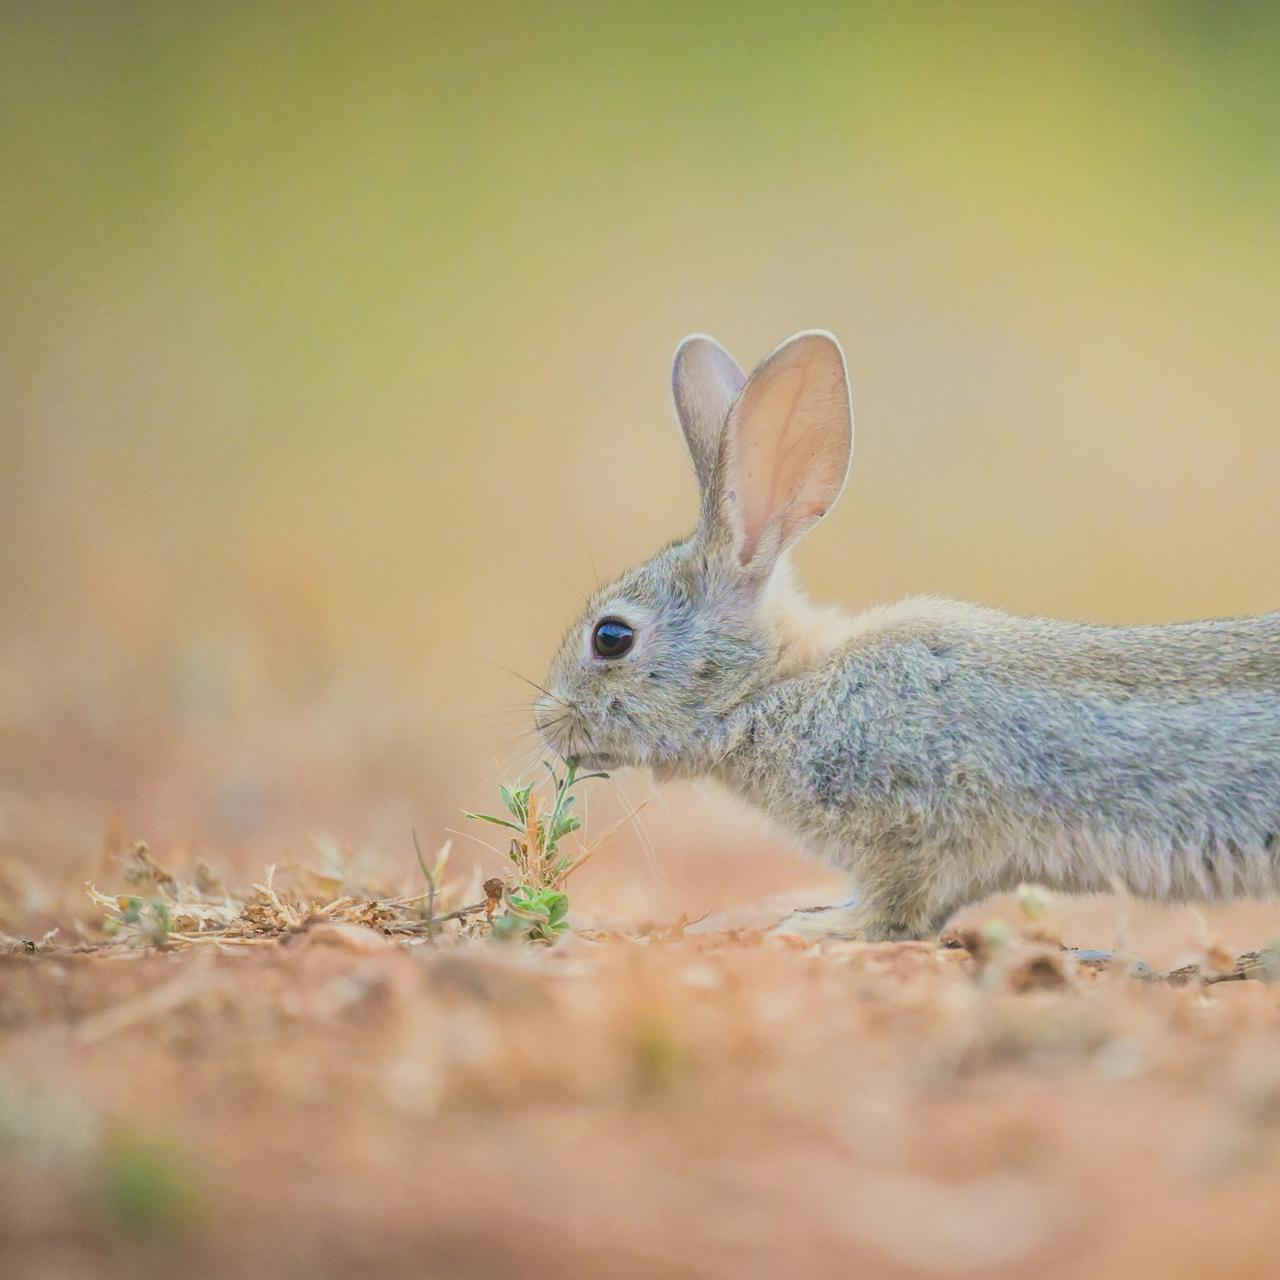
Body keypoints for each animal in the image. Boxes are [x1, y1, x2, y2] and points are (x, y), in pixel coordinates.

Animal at [532, 330, 1280, 942]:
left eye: (612, 638)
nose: (546, 721)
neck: (775, 687)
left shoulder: (916, 830)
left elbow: (898, 910)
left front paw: (815, 926)